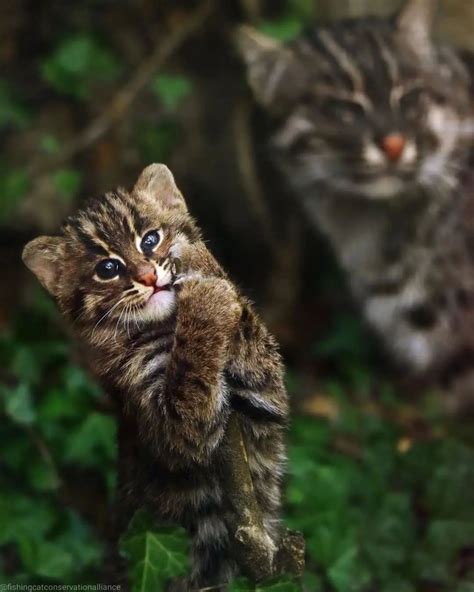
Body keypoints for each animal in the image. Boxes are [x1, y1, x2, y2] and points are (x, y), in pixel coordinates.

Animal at [23, 164, 288, 588]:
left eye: (151, 239)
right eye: (108, 269)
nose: (149, 276)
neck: (165, 326)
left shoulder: (265, 397)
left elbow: (252, 338)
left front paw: (198, 258)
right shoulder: (171, 431)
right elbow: (190, 385)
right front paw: (206, 302)